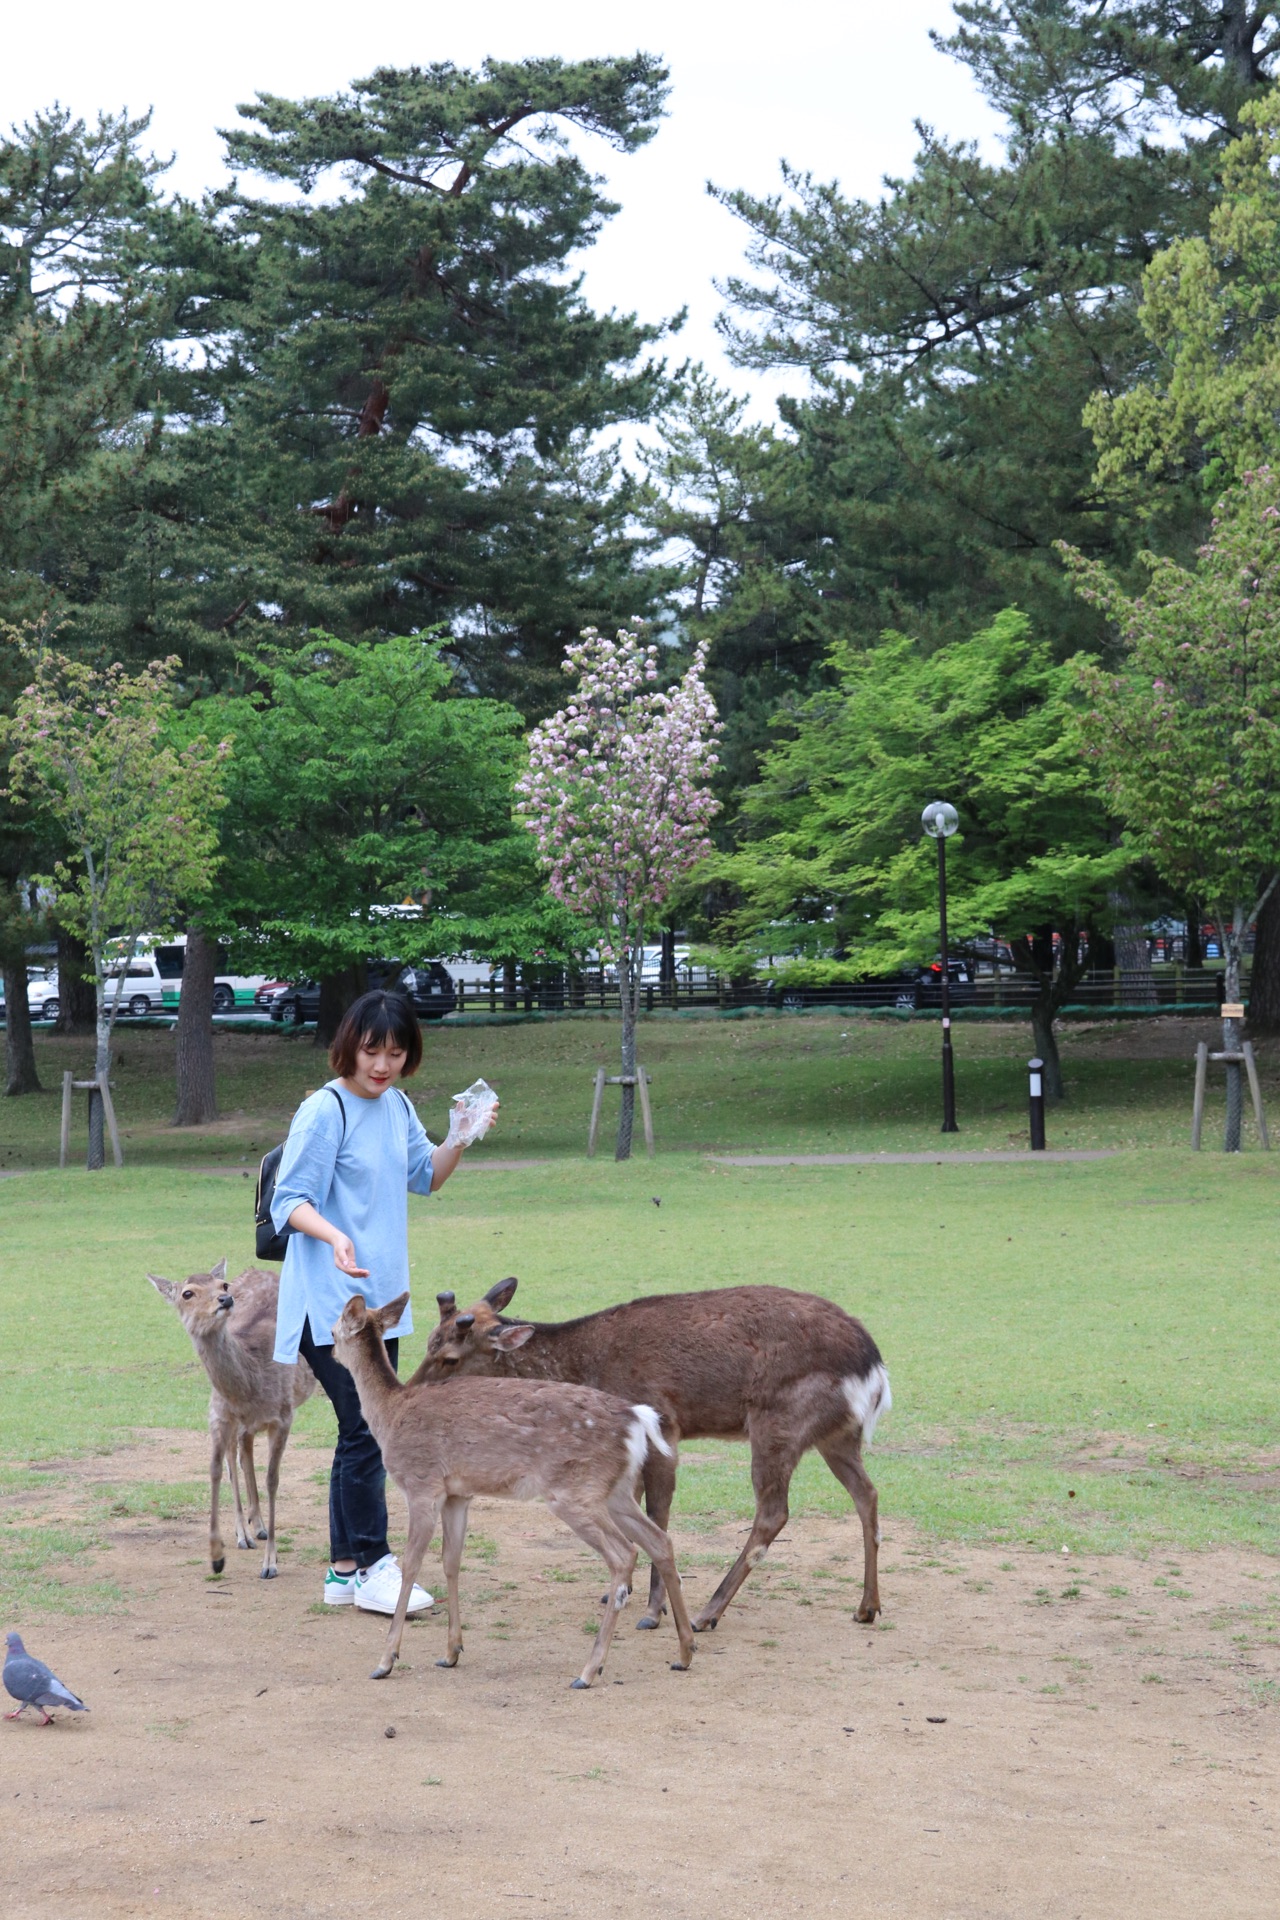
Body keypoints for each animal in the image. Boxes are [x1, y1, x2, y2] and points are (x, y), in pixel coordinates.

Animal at [144, 1259, 312, 1574]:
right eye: (187, 1293)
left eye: (223, 1284)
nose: (225, 1299)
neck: (250, 1385)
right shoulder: (218, 1415)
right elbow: (216, 1469)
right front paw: (217, 1554)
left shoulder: (283, 1416)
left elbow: (273, 1479)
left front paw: (270, 1563)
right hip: (239, 1424)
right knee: (239, 1458)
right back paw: (247, 1530)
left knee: (246, 1455)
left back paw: (258, 1526)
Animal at [328, 1297, 690, 1689]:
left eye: (332, 1330)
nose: (329, 1351)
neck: (389, 1416)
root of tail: (638, 1419)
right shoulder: (458, 1494)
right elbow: (451, 1560)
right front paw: (451, 1652)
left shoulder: (422, 1483)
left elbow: (411, 1565)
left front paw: (386, 1660)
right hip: (615, 1491)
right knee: (660, 1540)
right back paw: (685, 1651)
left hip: (574, 1490)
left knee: (625, 1553)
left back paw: (589, 1671)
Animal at [418, 1274, 890, 1635]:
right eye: (427, 1342)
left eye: (449, 1357)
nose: (413, 1389)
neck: (589, 1368)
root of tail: (874, 1366)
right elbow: (638, 1504)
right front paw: (619, 1591)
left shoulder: (663, 1423)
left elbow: (657, 1513)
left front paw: (652, 1610)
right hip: (837, 1434)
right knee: (866, 1492)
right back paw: (867, 1606)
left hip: (778, 1422)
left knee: (774, 1512)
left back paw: (707, 1614)